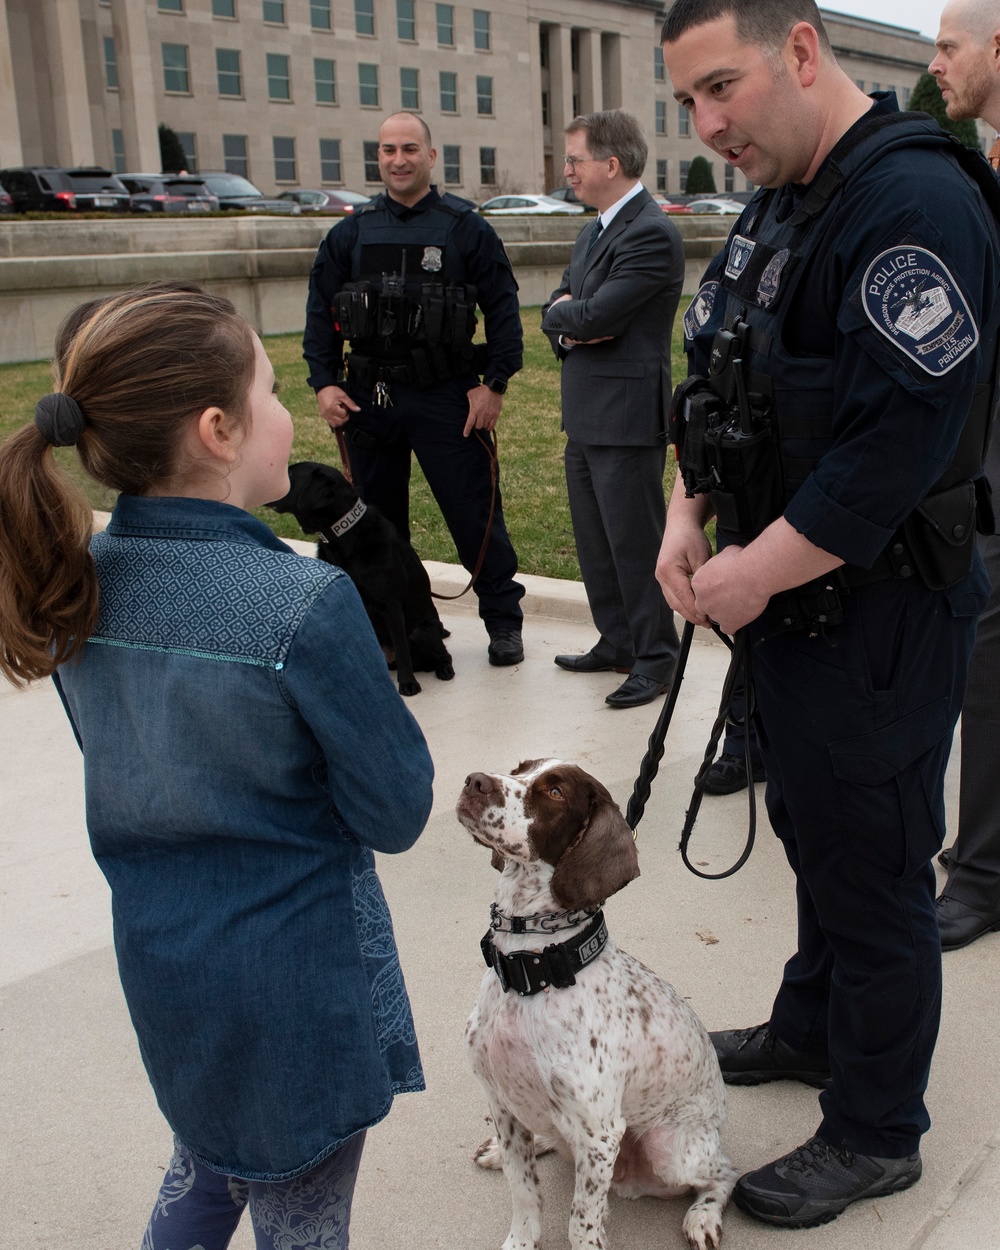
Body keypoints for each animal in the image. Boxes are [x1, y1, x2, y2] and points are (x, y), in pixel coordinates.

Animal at [267, 462, 450, 700]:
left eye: (289, 473)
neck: (342, 535)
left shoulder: (391, 606)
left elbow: (402, 650)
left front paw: (408, 683)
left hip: (422, 631)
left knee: (440, 654)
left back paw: (443, 669)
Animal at [455, 755, 735, 1250]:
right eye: (520, 767)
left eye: (554, 792)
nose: (475, 781)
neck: (531, 970)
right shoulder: (501, 1102)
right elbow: (523, 1190)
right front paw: (521, 1239)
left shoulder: (600, 1132)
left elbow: (580, 1221)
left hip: (669, 1149)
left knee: (726, 1175)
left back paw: (703, 1216)